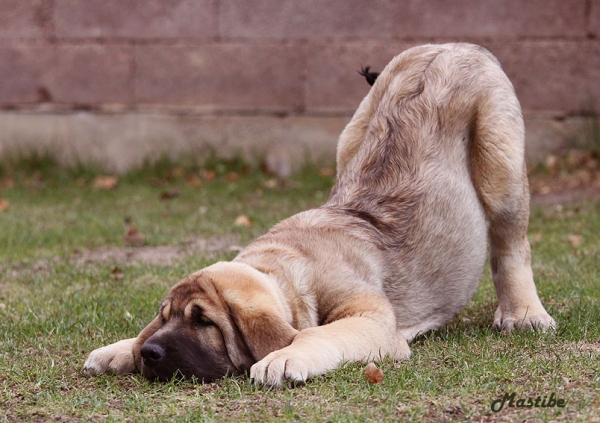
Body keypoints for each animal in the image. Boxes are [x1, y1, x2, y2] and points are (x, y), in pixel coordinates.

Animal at [82, 43, 556, 388]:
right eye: (165, 317)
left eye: (203, 322)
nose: (151, 354)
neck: (283, 268)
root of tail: (449, 45)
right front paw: (122, 348)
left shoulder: (372, 319)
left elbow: (317, 332)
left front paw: (285, 355)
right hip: (352, 135)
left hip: (500, 162)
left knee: (512, 245)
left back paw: (524, 314)